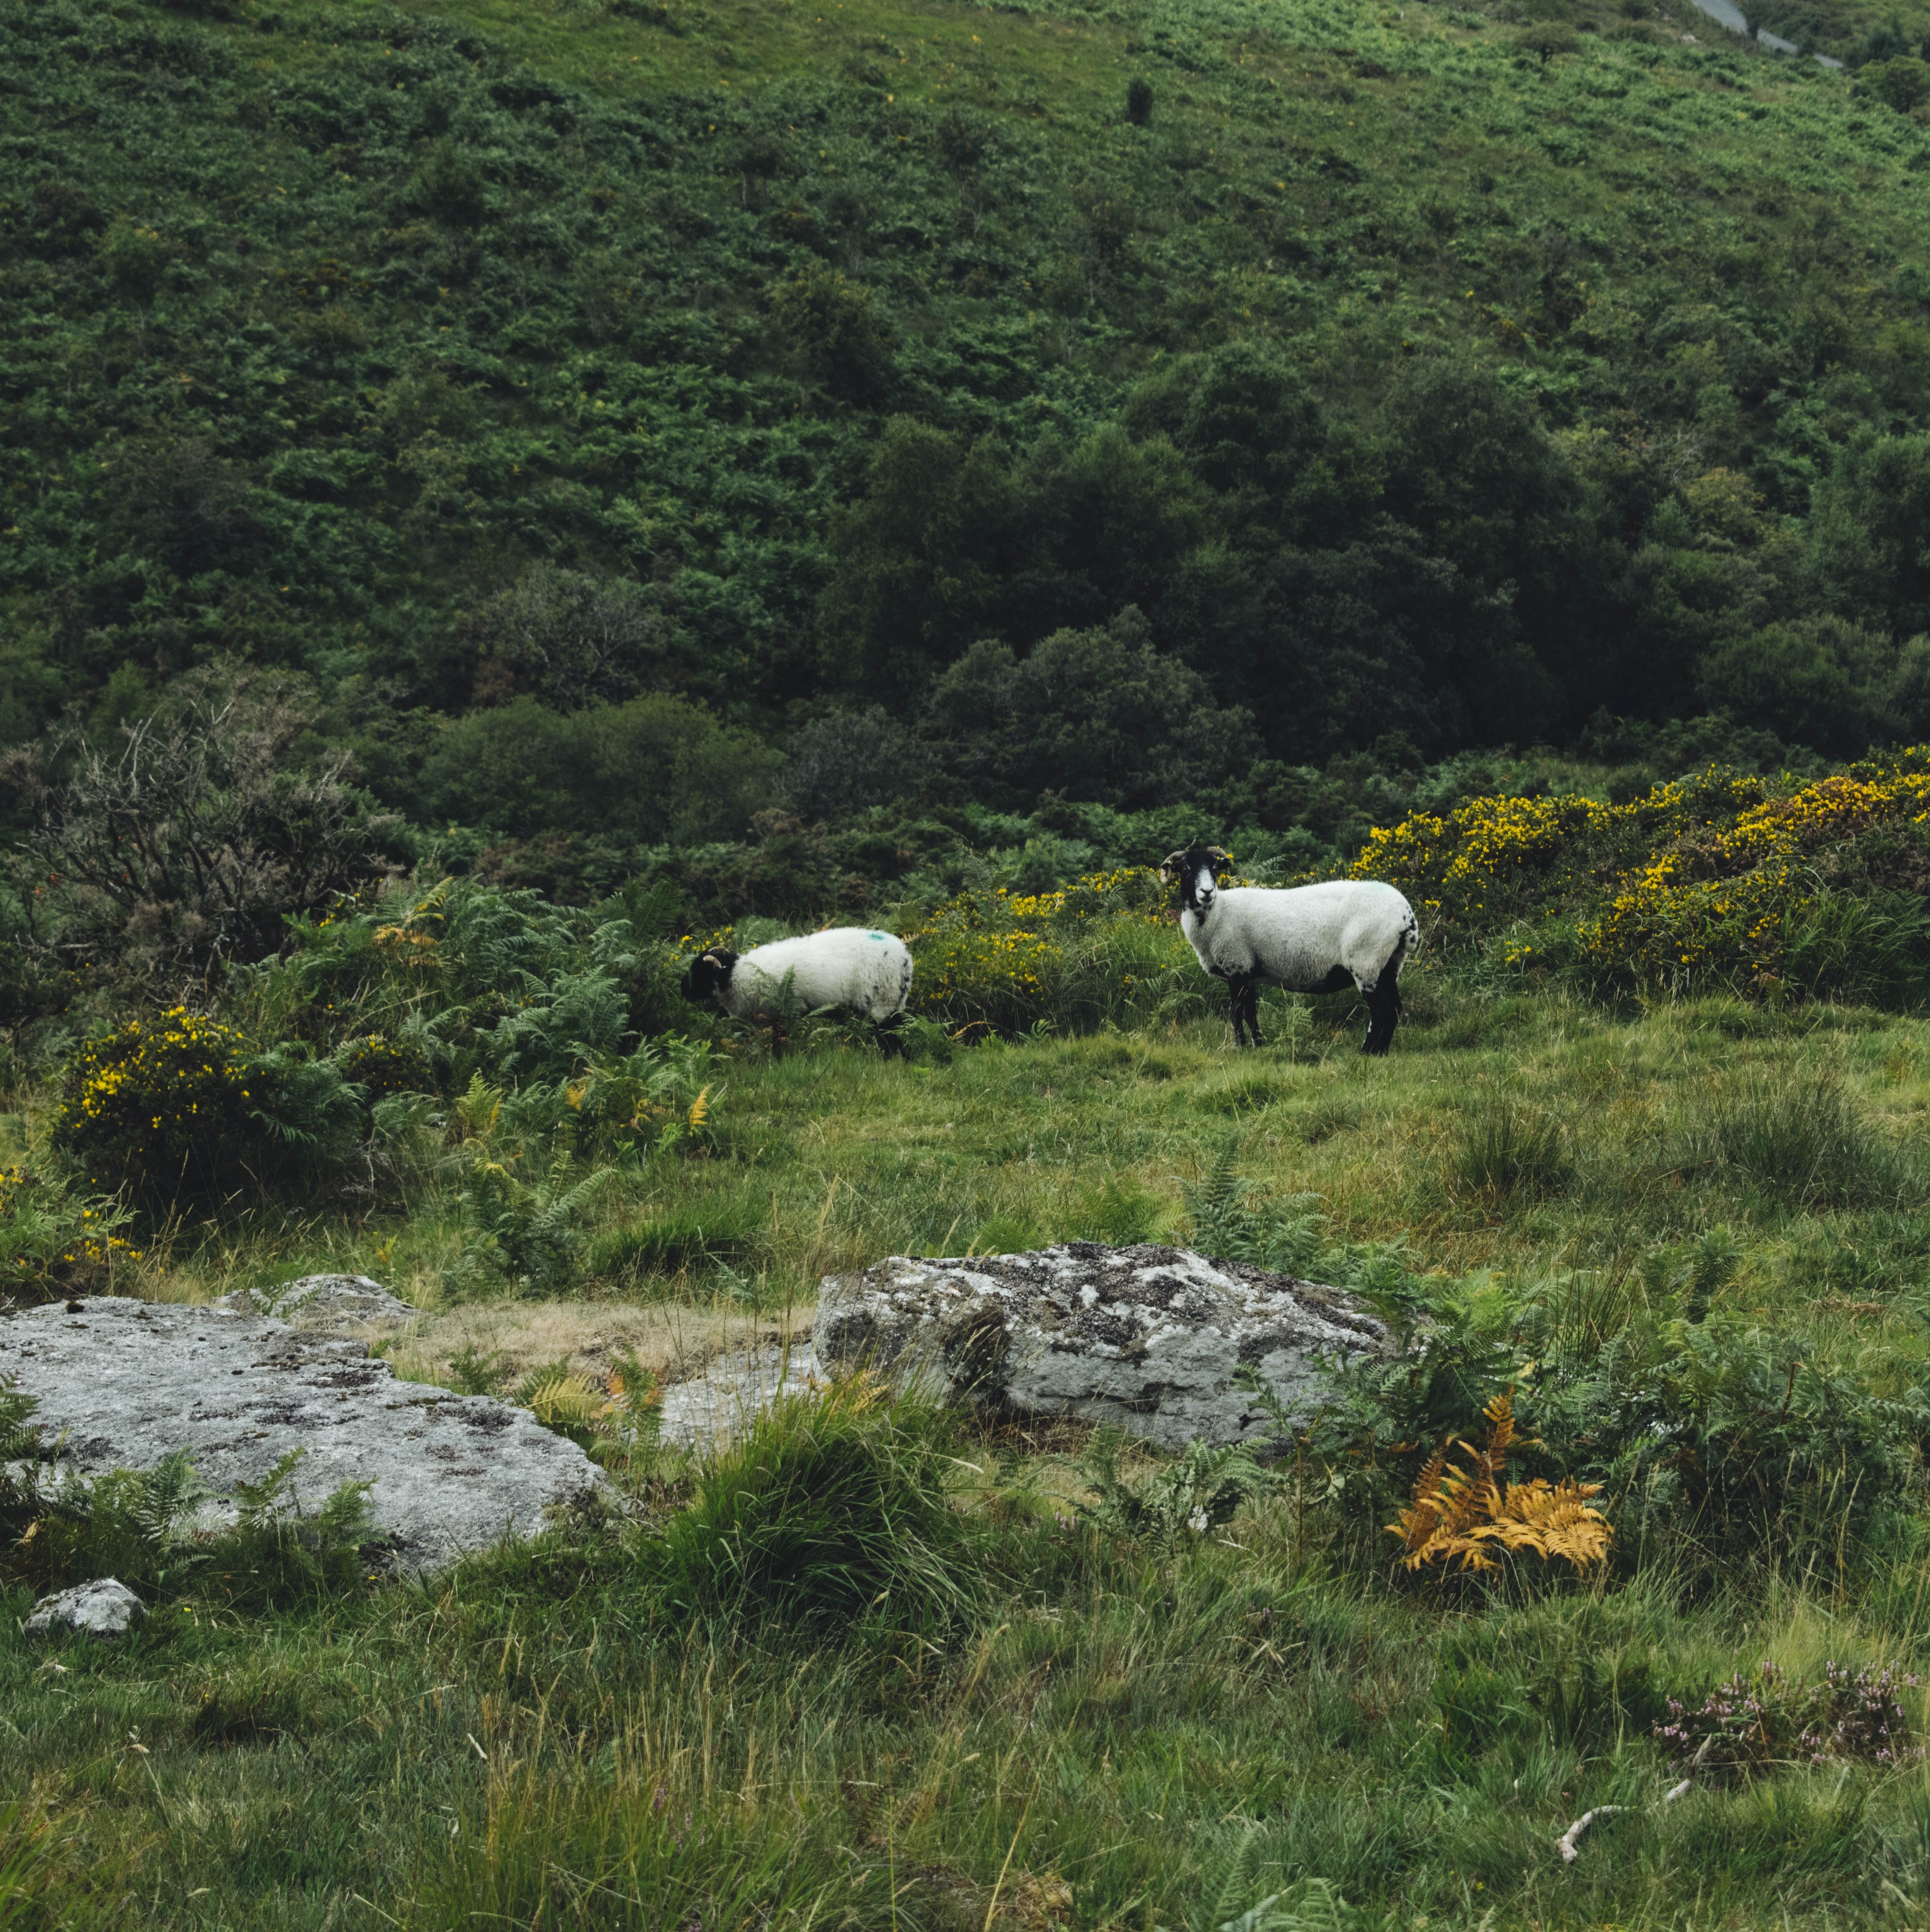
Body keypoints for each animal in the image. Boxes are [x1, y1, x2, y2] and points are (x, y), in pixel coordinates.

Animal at [681, 927, 915, 1058]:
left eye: (700, 973)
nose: (683, 990)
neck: (738, 975)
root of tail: (904, 959)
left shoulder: (786, 1013)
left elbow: (780, 1043)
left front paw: (779, 1061)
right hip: (894, 1002)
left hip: (882, 1002)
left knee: (889, 1035)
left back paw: (891, 1059)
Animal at [1159, 844, 1420, 1055]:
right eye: (1186, 868)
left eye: (1214, 868)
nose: (1207, 892)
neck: (1217, 913)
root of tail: (1406, 915)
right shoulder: (1248, 973)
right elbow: (1250, 1013)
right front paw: (1258, 1046)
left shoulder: (1237, 966)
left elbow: (1236, 1012)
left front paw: (1239, 1048)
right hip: (1389, 964)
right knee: (1395, 1009)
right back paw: (1381, 1053)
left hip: (1367, 961)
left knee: (1381, 1011)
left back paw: (1367, 1052)